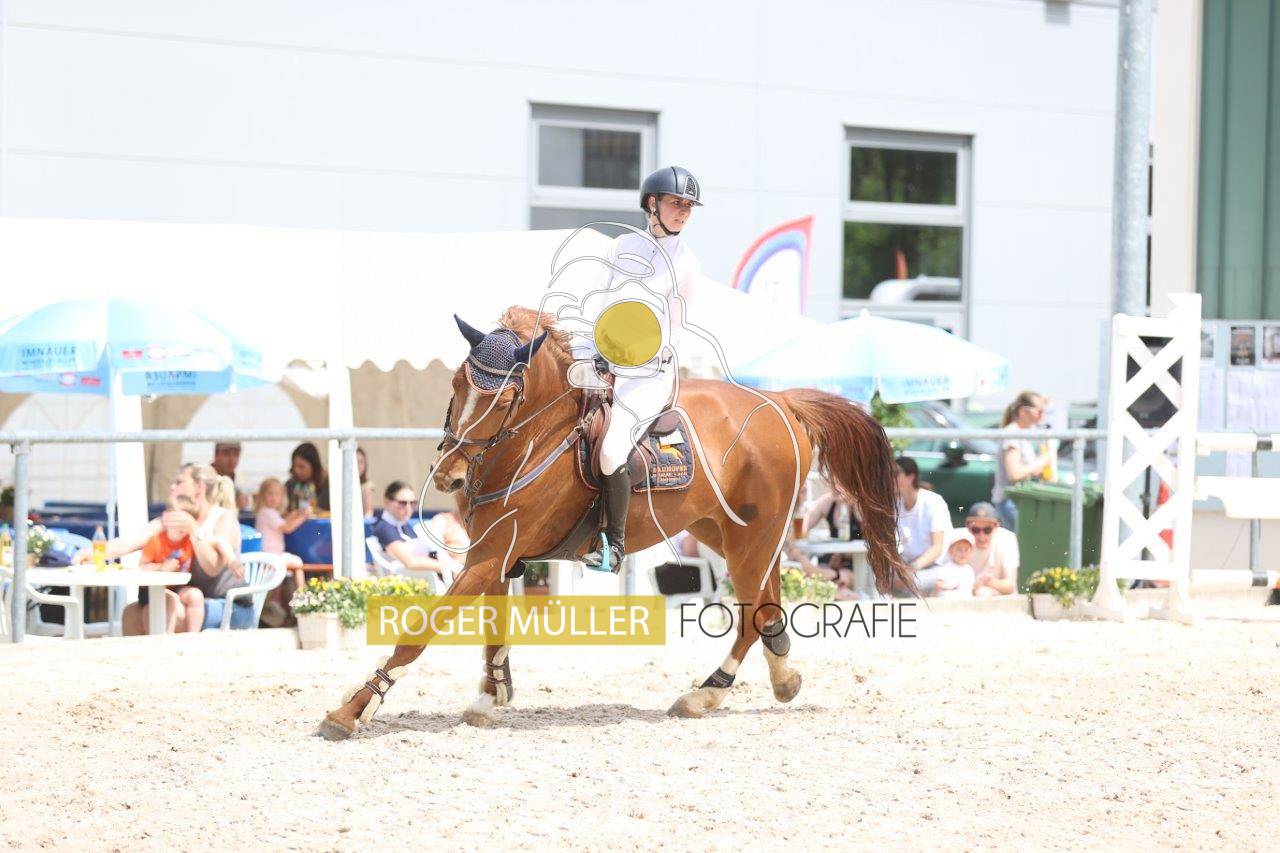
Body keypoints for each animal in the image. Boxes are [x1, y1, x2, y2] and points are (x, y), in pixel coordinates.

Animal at [320, 306, 910, 739]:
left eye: (506, 397)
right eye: (456, 382)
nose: (449, 476)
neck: (533, 440)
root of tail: (781, 402)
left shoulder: (491, 553)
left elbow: (420, 632)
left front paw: (354, 709)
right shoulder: (496, 554)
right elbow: (493, 628)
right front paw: (491, 694)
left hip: (752, 537)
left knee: (752, 613)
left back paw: (706, 693)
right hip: (724, 533)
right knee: (766, 607)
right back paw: (779, 677)